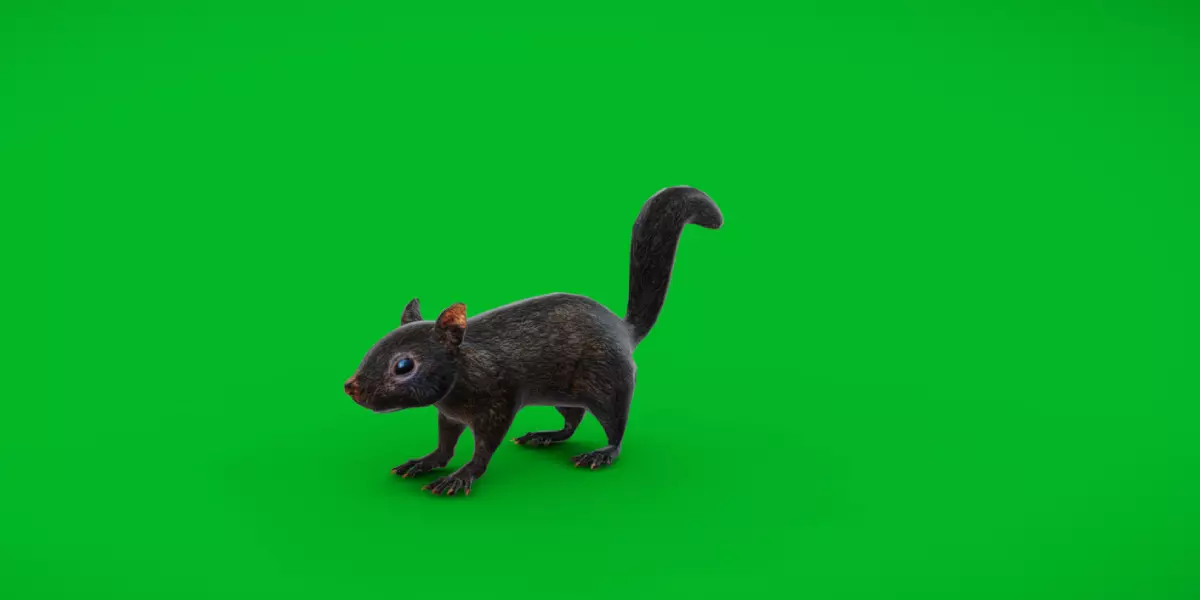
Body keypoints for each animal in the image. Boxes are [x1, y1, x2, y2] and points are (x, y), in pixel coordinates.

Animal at [343, 186, 723, 496]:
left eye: (404, 365)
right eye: (374, 346)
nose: (351, 388)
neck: (464, 369)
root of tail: (623, 330)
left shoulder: (497, 401)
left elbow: (484, 447)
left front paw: (461, 476)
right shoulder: (448, 413)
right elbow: (445, 444)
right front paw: (425, 461)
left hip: (609, 383)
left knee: (615, 429)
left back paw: (600, 453)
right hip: (564, 393)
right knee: (572, 420)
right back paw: (545, 436)